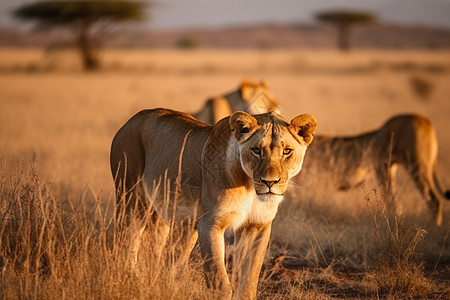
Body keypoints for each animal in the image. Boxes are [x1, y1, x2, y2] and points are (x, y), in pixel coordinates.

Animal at [110, 108, 318, 298]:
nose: (270, 182)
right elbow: (220, 282)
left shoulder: (258, 226)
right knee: (126, 246)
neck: (250, 188)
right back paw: (130, 279)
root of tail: (131, 120)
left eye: (287, 151)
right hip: (131, 201)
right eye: (256, 150)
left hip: (173, 220)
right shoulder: (210, 224)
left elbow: (249, 281)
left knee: (165, 259)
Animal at [298, 114, 448, 225]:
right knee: (397, 203)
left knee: (434, 201)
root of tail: (426, 121)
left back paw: (432, 229)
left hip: (413, 167)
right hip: (391, 170)